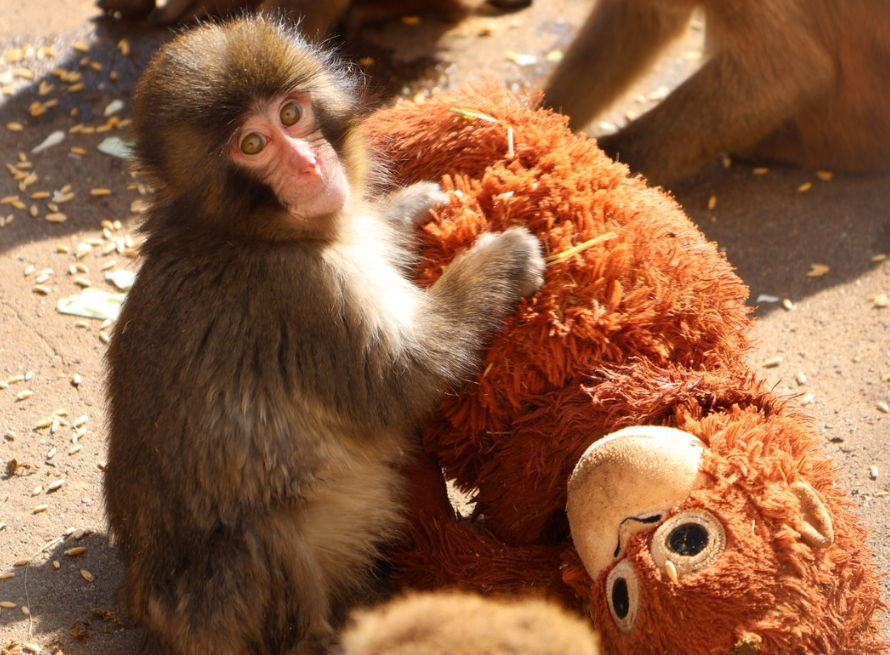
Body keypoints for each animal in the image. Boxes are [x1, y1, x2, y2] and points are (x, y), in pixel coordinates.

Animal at [103, 15, 545, 655]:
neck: (247, 231)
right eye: (253, 145)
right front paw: (502, 261)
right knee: (261, 539)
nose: (309, 167)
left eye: (291, 114)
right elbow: (400, 380)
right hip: (214, 608)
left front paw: (411, 205)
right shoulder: (304, 294)